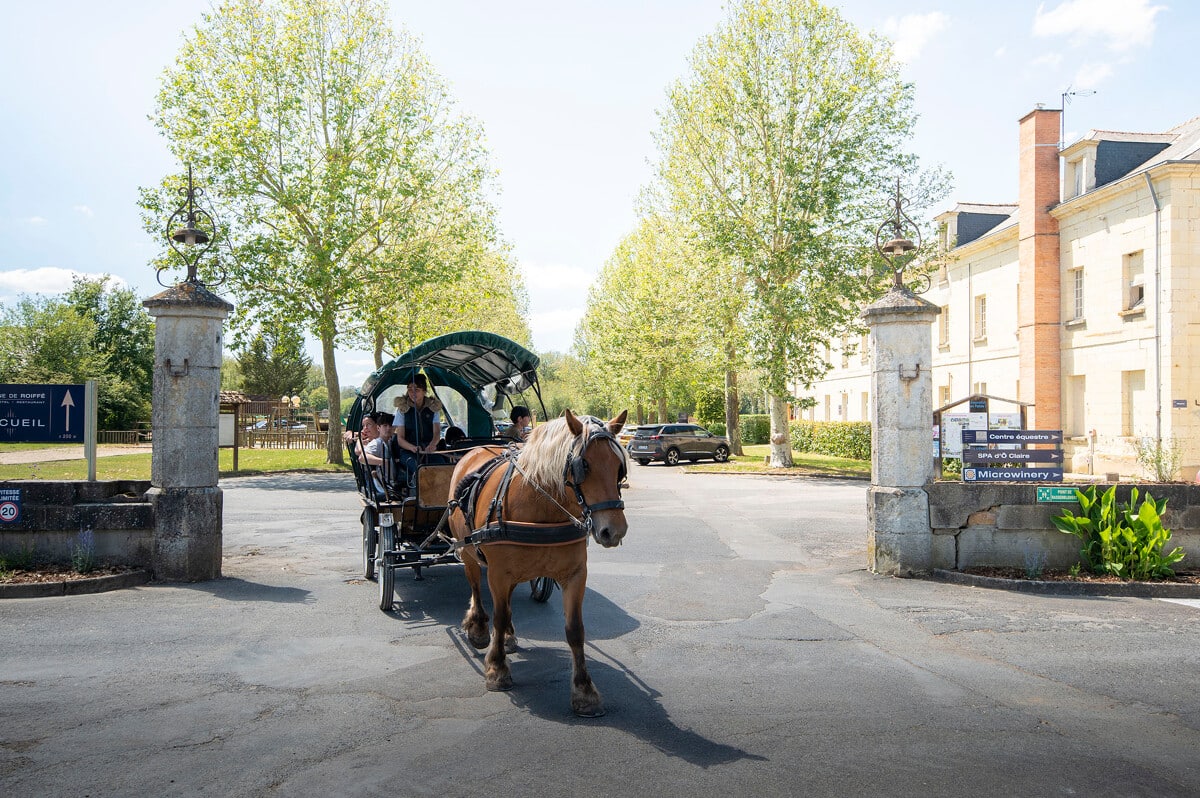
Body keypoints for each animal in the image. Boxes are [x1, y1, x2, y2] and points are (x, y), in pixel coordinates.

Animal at [448, 410, 628, 715]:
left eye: (619, 468)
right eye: (584, 465)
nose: (613, 530)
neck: (539, 507)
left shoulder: (575, 575)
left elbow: (575, 630)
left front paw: (584, 690)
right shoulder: (498, 573)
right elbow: (499, 615)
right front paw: (497, 669)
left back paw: (508, 637)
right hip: (470, 552)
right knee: (476, 589)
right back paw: (479, 628)